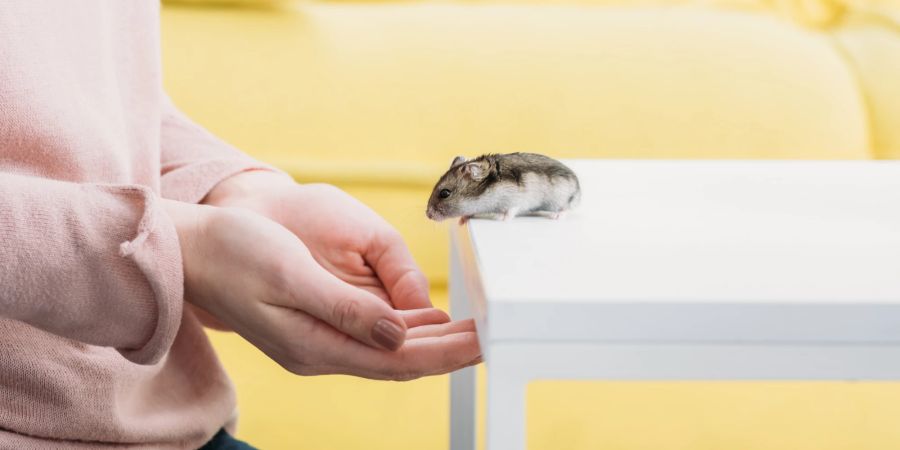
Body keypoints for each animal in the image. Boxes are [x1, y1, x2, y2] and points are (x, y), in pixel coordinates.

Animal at [426, 153, 580, 225]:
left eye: (445, 193)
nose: (428, 215)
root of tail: (579, 190)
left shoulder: (515, 201)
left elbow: (510, 212)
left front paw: (499, 218)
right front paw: (462, 220)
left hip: (561, 199)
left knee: (566, 208)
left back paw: (555, 216)